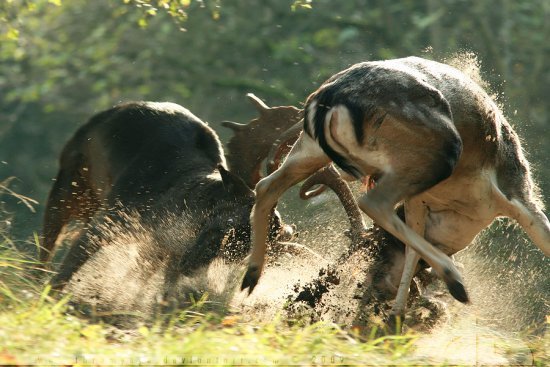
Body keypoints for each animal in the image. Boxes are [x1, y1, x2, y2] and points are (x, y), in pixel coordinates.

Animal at [41, 96, 302, 288]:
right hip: (69, 185)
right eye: (227, 225)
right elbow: (64, 272)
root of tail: (111, 110)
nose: (191, 263)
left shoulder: (160, 252)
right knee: (47, 247)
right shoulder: (109, 221)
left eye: (244, 251)